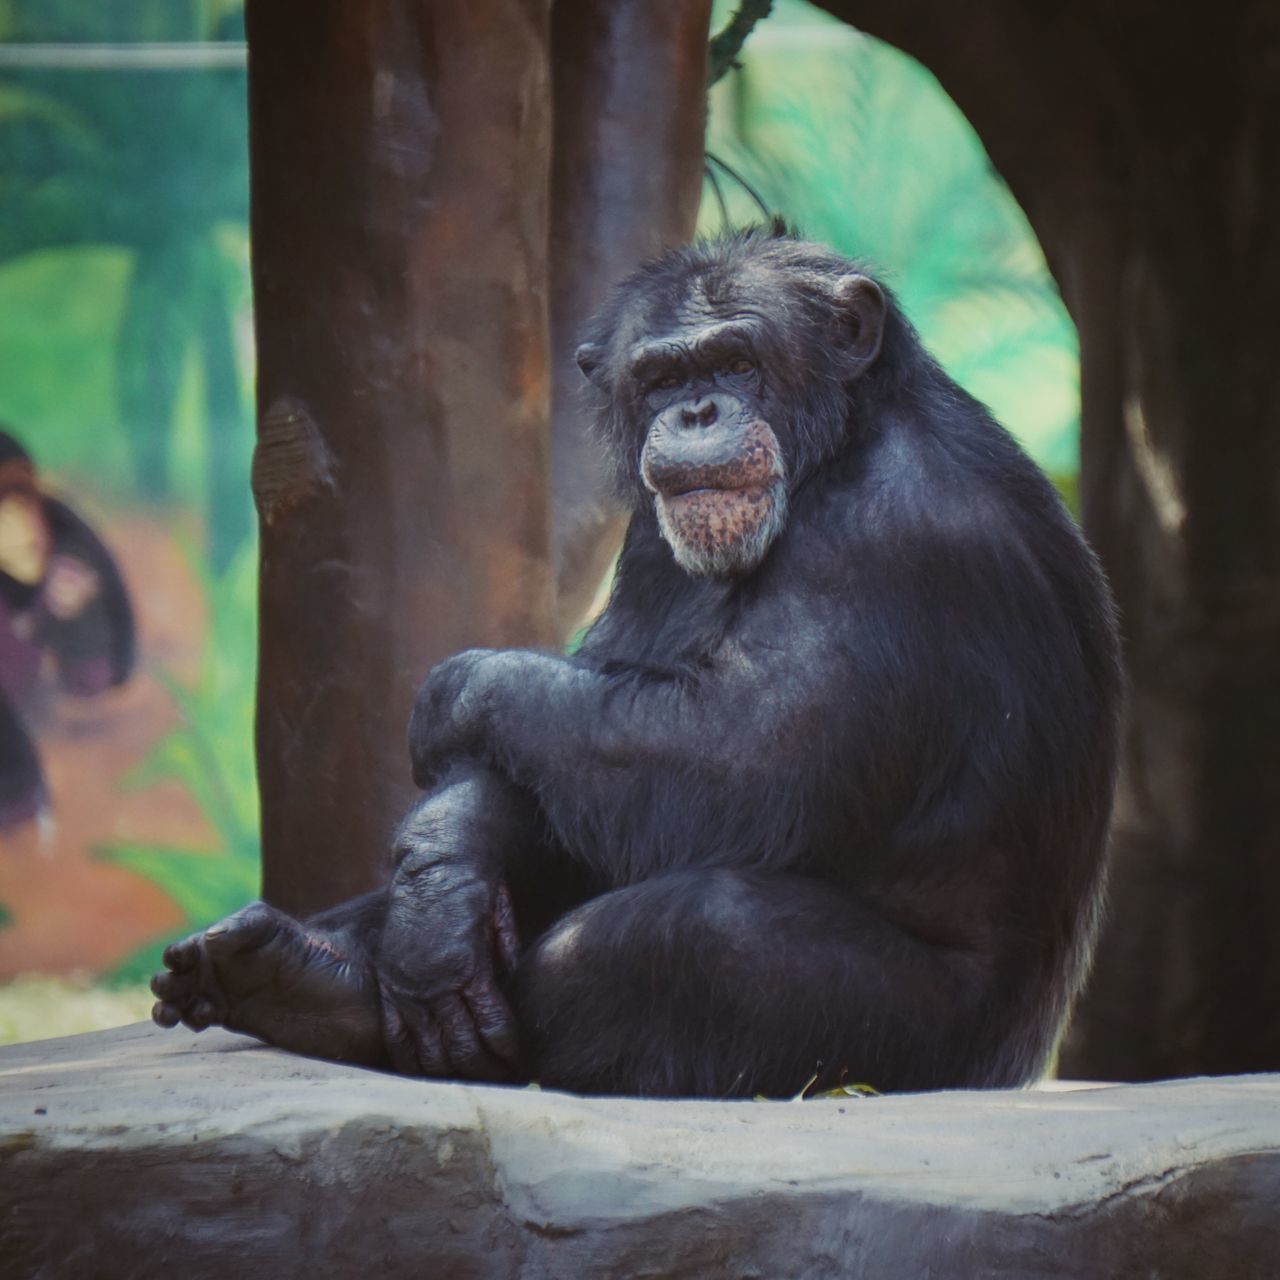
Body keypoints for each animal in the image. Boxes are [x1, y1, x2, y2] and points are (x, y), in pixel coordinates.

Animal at [152, 232, 1121, 1100]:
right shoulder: (655, 535)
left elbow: (741, 754)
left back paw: (331, 998)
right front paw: (440, 874)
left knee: (682, 932)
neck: (835, 448)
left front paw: (454, 693)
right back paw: (286, 963)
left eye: (736, 361)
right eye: (661, 378)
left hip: (927, 1051)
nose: (695, 414)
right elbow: (589, 727)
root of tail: (1021, 1068)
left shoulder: (890, 533)